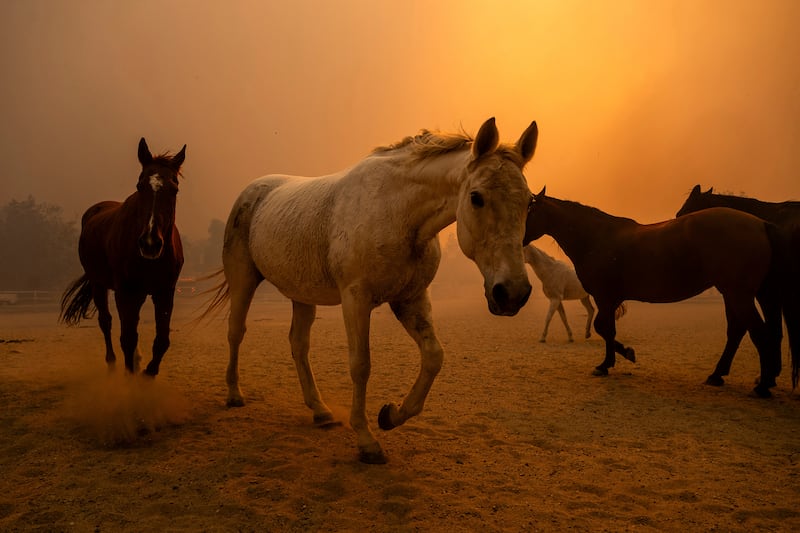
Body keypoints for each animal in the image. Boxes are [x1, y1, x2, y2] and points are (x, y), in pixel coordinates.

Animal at [59, 139, 186, 376]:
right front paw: (131, 376)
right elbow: (127, 337)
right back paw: (112, 361)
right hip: (99, 285)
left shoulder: (165, 292)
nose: (150, 243)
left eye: (174, 189)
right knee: (106, 322)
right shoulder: (125, 292)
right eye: (140, 185)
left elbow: (162, 340)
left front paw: (148, 371)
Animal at [206, 116, 540, 462]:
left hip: (302, 295)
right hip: (244, 280)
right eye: (476, 197)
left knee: (298, 345)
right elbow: (361, 365)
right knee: (236, 331)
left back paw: (320, 411)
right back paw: (234, 394)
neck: (396, 211)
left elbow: (433, 356)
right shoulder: (356, 299)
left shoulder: (411, 299)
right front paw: (366, 441)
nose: (512, 292)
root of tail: (253, 190)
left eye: (529, 201)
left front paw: (390, 415)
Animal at [524, 187, 780, 394]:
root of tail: (760, 224)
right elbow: (607, 329)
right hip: (732, 293)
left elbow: (603, 328)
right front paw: (617, 358)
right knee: (738, 330)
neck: (597, 237)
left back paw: (763, 385)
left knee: (758, 332)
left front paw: (611, 361)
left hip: (739, 294)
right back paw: (718, 376)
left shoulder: (605, 297)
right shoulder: (609, 299)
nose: (520, 239)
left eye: (530, 211)